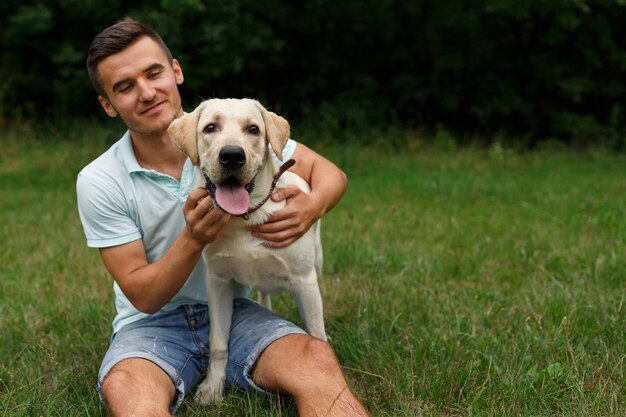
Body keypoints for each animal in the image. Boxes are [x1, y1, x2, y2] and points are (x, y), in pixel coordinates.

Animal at [168, 98, 324, 404]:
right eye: (210, 127)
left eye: (253, 129)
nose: (232, 156)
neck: (244, 218)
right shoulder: (218, 282)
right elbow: (218, 343)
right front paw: (213, 387)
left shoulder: (305, 281)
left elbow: (316, 334)